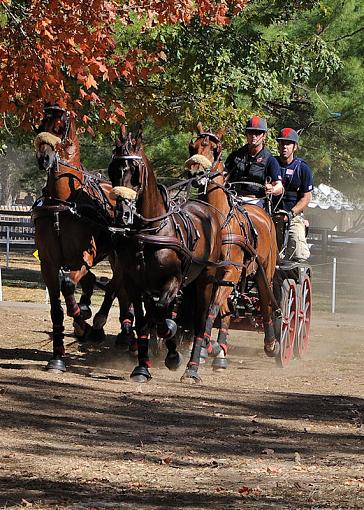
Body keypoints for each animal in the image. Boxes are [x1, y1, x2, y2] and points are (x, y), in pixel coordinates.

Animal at [32, 105, 116, 372]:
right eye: (40, 125)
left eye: (60, 127)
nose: (44, 159)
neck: (64, 202)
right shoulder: (48, 264)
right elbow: (57, 309)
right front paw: (57, 357)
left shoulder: (84, 257)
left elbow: (68, 284)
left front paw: (84, 324)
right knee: (95, 283)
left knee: (116, 286)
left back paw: (99, 325)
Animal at [107, 126, 222, 382]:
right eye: (113, 170)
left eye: (135, 170)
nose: (122, 213)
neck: (150, 230)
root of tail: (207, 209)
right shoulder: (135, 284)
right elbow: (145, 321)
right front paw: (142, 367)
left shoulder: (173, 280)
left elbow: (161, 315)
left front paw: (171, 348)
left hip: (205, 281)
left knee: (200, 322)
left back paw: (192, 368)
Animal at [186, 121, 280, 364]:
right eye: (194, 146)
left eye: (214, 149)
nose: (195, 173)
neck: (218, 221)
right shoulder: (209, 274)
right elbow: (211, 308)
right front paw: (208, 348)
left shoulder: (231, 270)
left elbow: (213, 307)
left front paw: (204, 348)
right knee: (228, 307)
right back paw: (221, 350)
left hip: (264, 271)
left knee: (266, 303)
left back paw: (271, 344)